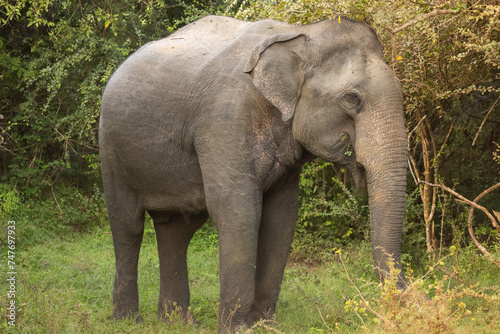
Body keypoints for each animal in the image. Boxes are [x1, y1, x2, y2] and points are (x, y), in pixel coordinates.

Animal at [99, 15, 408, 332]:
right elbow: (239, 213)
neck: (299, 34)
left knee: (177, 230)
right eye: (352, 99)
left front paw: (264, 325)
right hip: (111, 149)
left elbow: (281, 218)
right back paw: (129, 320)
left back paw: (178, 322)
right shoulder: (224, 124)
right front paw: (237, 329)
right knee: (128, 225)